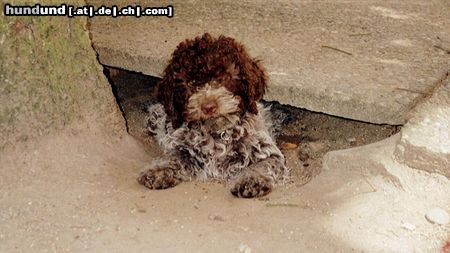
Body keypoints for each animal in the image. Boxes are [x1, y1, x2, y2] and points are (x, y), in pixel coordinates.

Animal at [139, 32, 290, 198]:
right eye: (190, 83)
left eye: (224, 78)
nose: (209, 107)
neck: (216, 132)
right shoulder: (185, 149)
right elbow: (174, 157)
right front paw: (157, 170)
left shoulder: (267, 152)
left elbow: (263, 164)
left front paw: (252, 180)